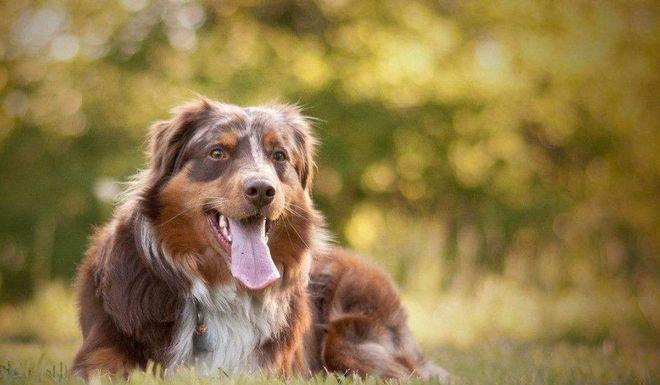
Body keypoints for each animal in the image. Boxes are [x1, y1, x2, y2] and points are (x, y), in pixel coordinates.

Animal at [71, 97, 448, 380]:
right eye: (217, 153)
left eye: (279, 156)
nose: (262, 190)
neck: (219, 290)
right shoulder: (99, 353)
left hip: (351, 333)